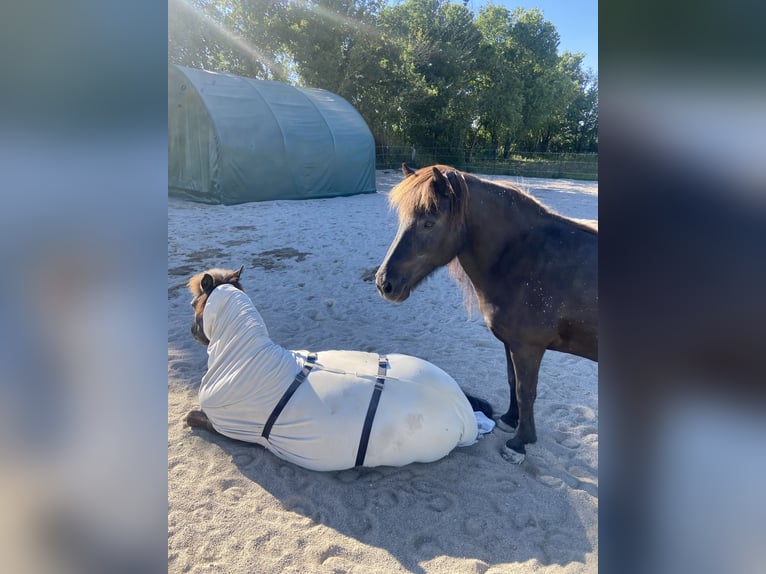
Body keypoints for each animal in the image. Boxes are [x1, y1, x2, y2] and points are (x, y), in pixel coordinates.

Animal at [185, 266, 495, 472]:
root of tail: (462, 410)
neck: (245, 355)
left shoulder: (226, 426)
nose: (192, 333)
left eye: (193, 303)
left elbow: (189, 416)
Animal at [375, 164, 597, 462]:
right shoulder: (511, 344)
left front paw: (520, 442)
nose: (384, 283)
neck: (526, 257)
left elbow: (526, 391)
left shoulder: (528, 348)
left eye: (428, 223)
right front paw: (510, 420)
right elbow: (512, 381)